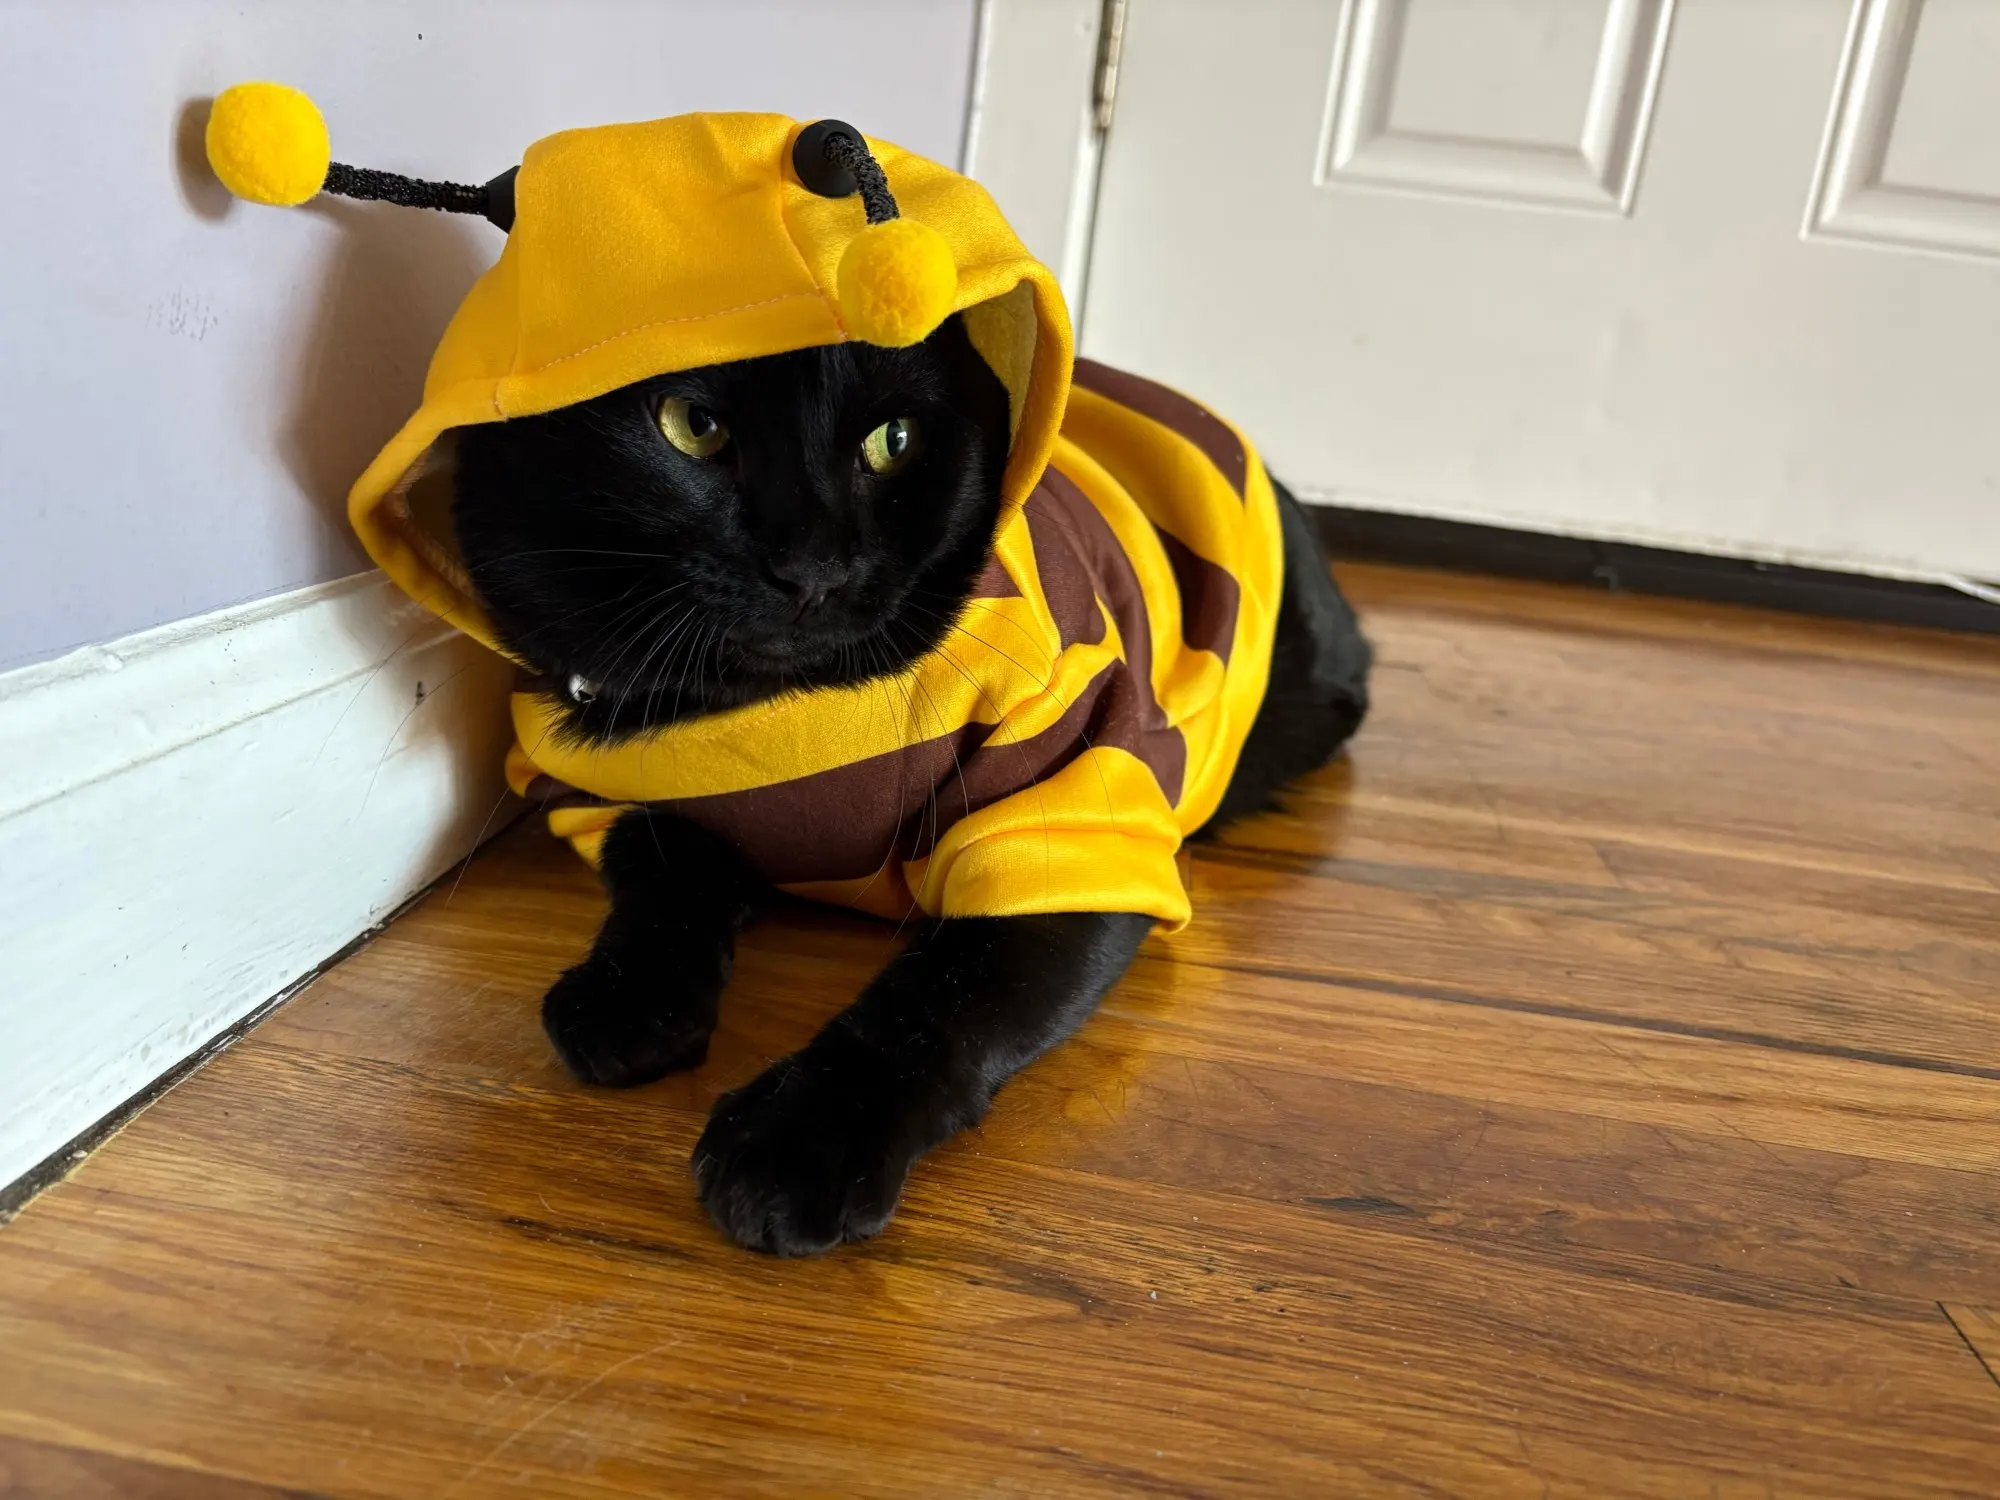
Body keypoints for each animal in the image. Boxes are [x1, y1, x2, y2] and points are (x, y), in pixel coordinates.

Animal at [452, 315, 1372, 1254]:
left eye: (895, 441)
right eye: (691, 424)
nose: (812, 568)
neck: (775, 714)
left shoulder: (1067, 833)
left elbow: (932, 1004)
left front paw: (796, 1146)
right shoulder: (617, 793)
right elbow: (663, 877)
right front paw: (629, 999)